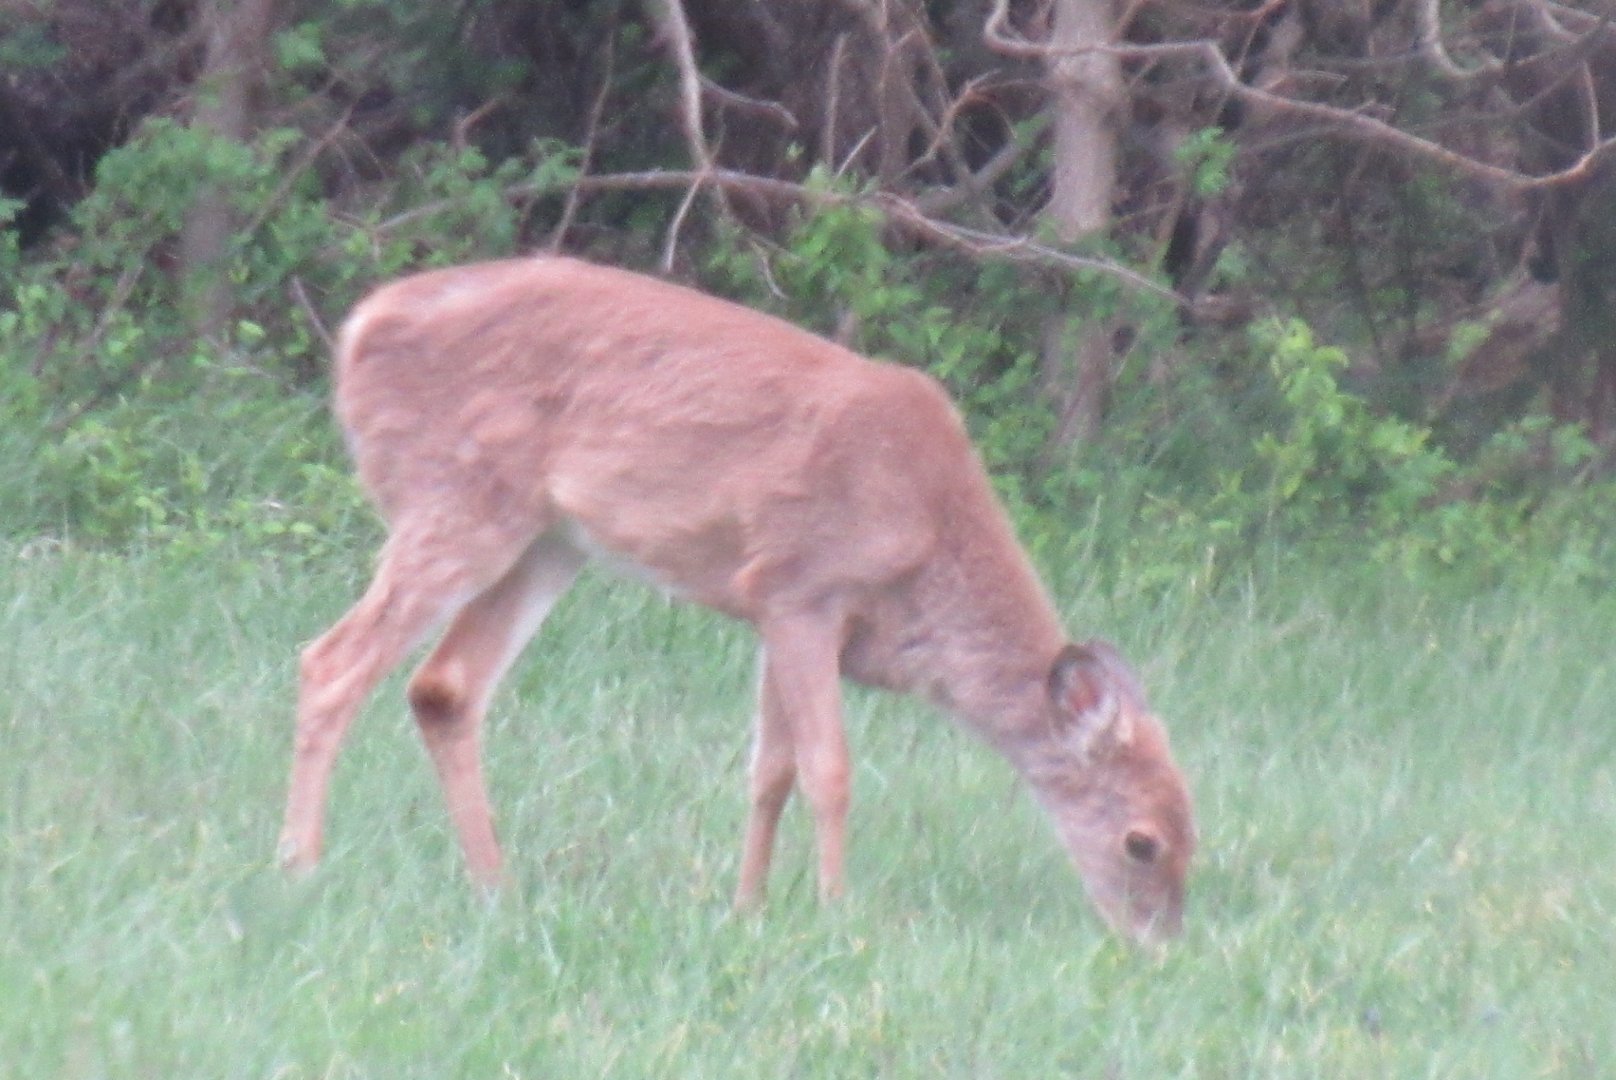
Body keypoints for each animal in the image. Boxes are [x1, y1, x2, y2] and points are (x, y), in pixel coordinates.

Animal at [276, 256, 1196, 943]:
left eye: (1195, 830)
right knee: (332, 660)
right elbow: (829, 770)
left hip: (546, 541)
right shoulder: (803, 586)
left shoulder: (775, 614)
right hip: (455, 502)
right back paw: (301, 869)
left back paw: (496, 890)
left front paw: (747, 909)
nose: (1156, 945)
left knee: (444, 687)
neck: (928, 544)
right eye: (1141, 842)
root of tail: (359, 330)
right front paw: (835, 913)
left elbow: (770, 771)